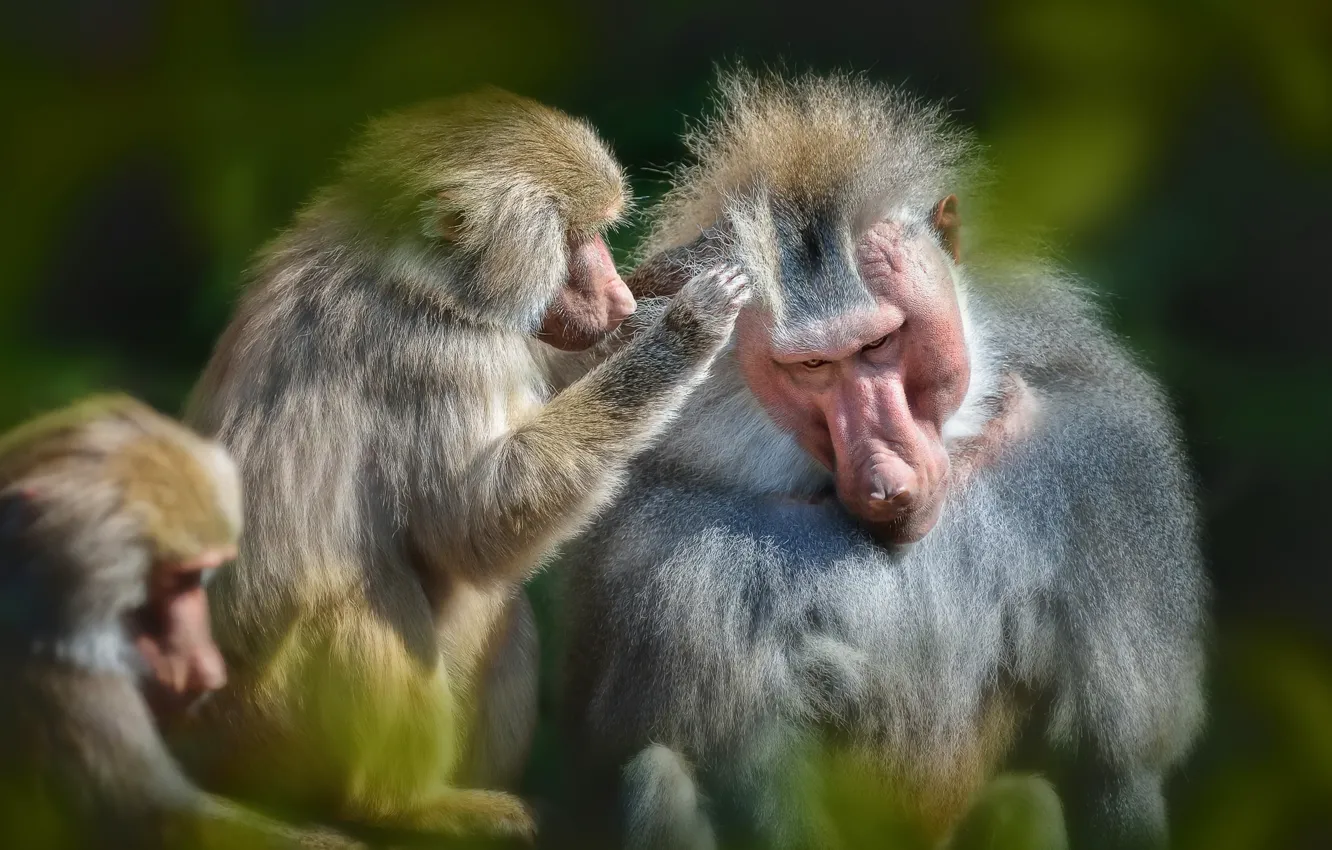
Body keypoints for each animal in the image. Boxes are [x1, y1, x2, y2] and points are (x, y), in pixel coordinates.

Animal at [175, 88, 752, 843]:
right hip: (259, 735)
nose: (620, 299)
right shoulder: (437, 356)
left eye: (598, 235)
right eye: (574, 241)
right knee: (361, 606)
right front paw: (681, 335)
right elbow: (475, 527)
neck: (407, 271)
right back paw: (404, 807)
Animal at [559, 69, 1208, 850]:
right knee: (656, 773)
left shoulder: (1101, 468)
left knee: (1028, 798)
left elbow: (1114, 767)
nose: (886, 477)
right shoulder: (666, 553)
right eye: (812, 365)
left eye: (879, 343)